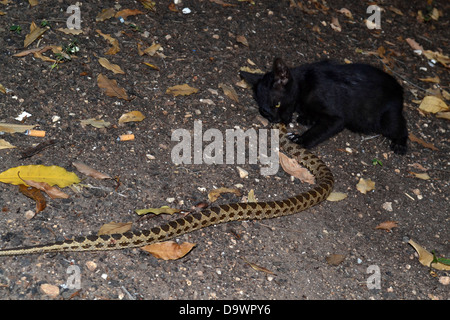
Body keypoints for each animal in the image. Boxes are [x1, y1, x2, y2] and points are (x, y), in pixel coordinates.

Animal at [243, 58, 408, 154]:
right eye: (265, 112)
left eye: (277, 104)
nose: (276, 120)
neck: (304, 85)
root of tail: (399, 87)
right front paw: (307, 119)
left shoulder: (336, 118)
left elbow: (318, 131)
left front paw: (299, 139)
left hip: (385, 119)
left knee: (400, 126)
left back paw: (400, 145)